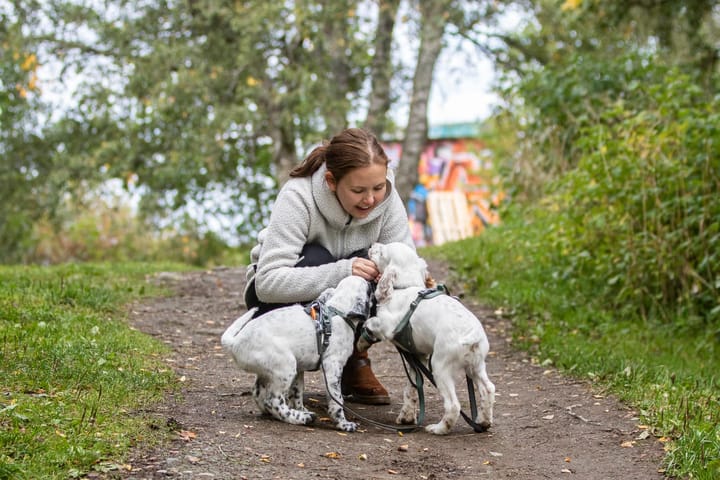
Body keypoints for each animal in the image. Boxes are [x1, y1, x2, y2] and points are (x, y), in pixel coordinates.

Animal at [222, 274, 374, 432]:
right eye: (369, 288)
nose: (372, 281)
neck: (339, 311)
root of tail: (236, 341)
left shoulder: (301, 370)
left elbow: (297, 393)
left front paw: (301, 408)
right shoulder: (332, 367)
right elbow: (337, 400)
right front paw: (343, 423)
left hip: (270, 371)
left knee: (258, 394)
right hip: (286, 366)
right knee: (273, 401)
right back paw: (301, 418)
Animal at [356, 244, 492, 436]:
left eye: (382, 252)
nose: (372, 245)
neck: (406, 287)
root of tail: (471, 335)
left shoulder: (388, 326)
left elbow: (370, 323)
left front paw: (362, 341)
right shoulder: (416, 356)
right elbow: (412, 388)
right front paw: (406, 417)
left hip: (439, 367)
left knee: (453, 405)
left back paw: (439, 429)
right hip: (475, 365)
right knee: (488, 389)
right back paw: (483, 421)